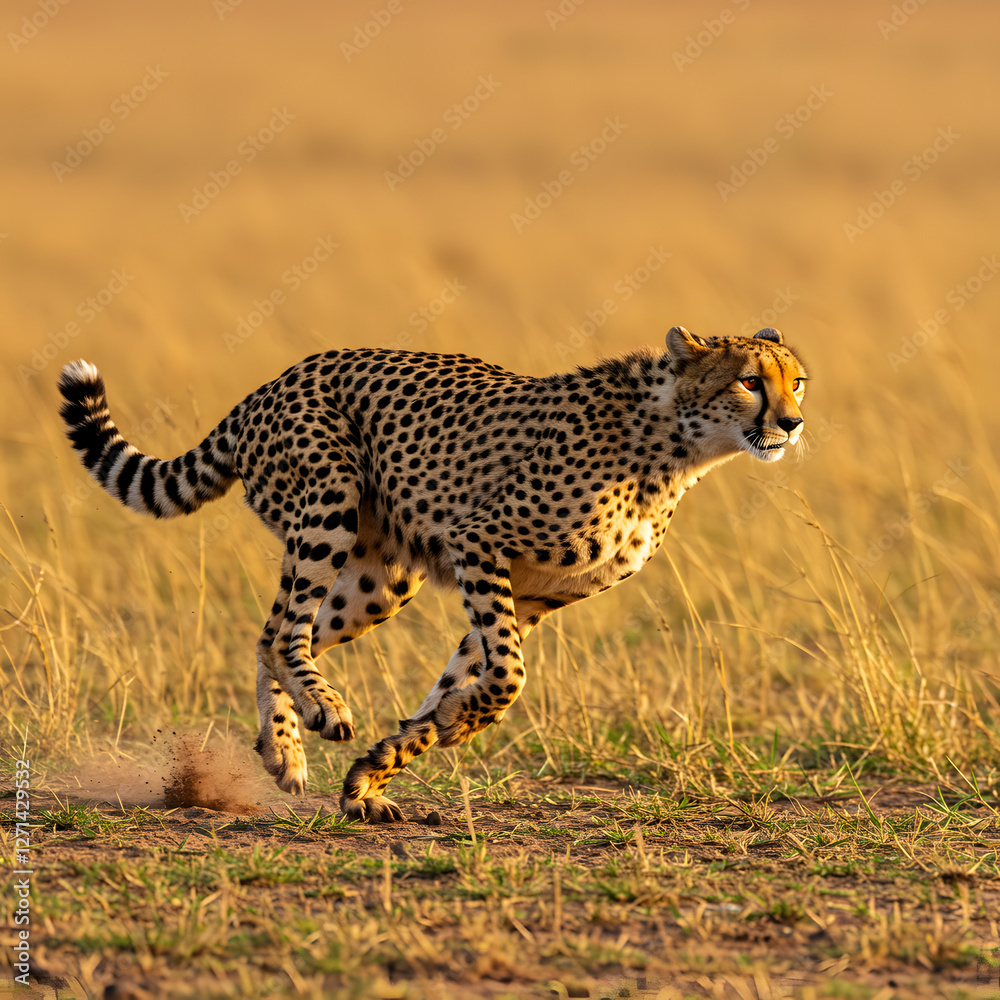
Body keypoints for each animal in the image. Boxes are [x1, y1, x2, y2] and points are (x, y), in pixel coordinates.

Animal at [57, 324, 807, 822]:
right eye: (749, 381)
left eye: (796, 380)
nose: (794, 423)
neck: (676, 447)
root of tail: (275, 381)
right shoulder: (479, 542)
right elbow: (509, 675)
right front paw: (443, 728)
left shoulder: (533, 596)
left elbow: (464, 680)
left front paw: (379, 770)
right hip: (328, 501)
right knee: (285, 631)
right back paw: (321, 710)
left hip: (382, 580)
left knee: (270, 633)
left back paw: (284, 751)